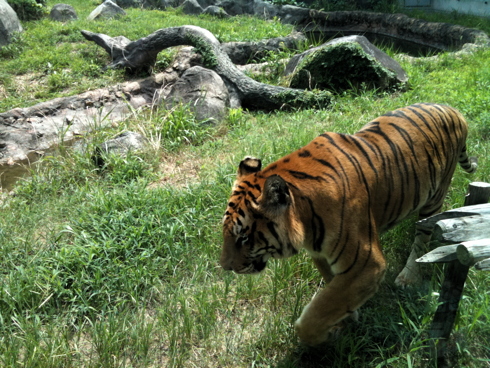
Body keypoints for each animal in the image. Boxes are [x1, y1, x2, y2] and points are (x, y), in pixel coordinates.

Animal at [219, 103, 478, 344]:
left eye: (244, 237)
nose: (226, 267)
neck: (305, 220)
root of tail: (453, 110)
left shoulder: (366, 262)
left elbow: (321, 310)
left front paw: (323, 333)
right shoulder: (320, 255)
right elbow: (334, 290)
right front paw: (346, 319)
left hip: (434, 199)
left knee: (422, 240)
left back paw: (408, 277)